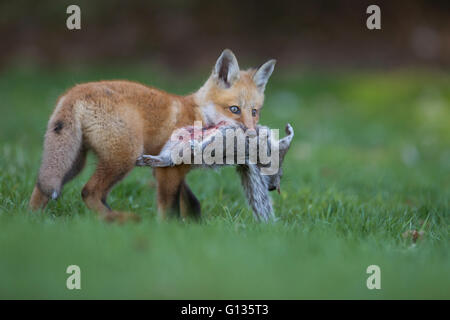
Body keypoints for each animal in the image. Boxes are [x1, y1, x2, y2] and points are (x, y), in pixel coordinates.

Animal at [29, 48, 276, 222]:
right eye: (234, 109)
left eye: (255, 112)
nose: (252, 133)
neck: (197, 113)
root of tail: (75, 91)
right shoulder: (170, 170)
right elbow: (170, 209)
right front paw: (169, 231)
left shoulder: (167, 168)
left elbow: (192, 204)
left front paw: (195, 227)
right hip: (123, 157)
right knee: (89, 192)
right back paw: (118, 220)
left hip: (71, 161)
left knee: (41, 188)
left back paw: (31, 221)